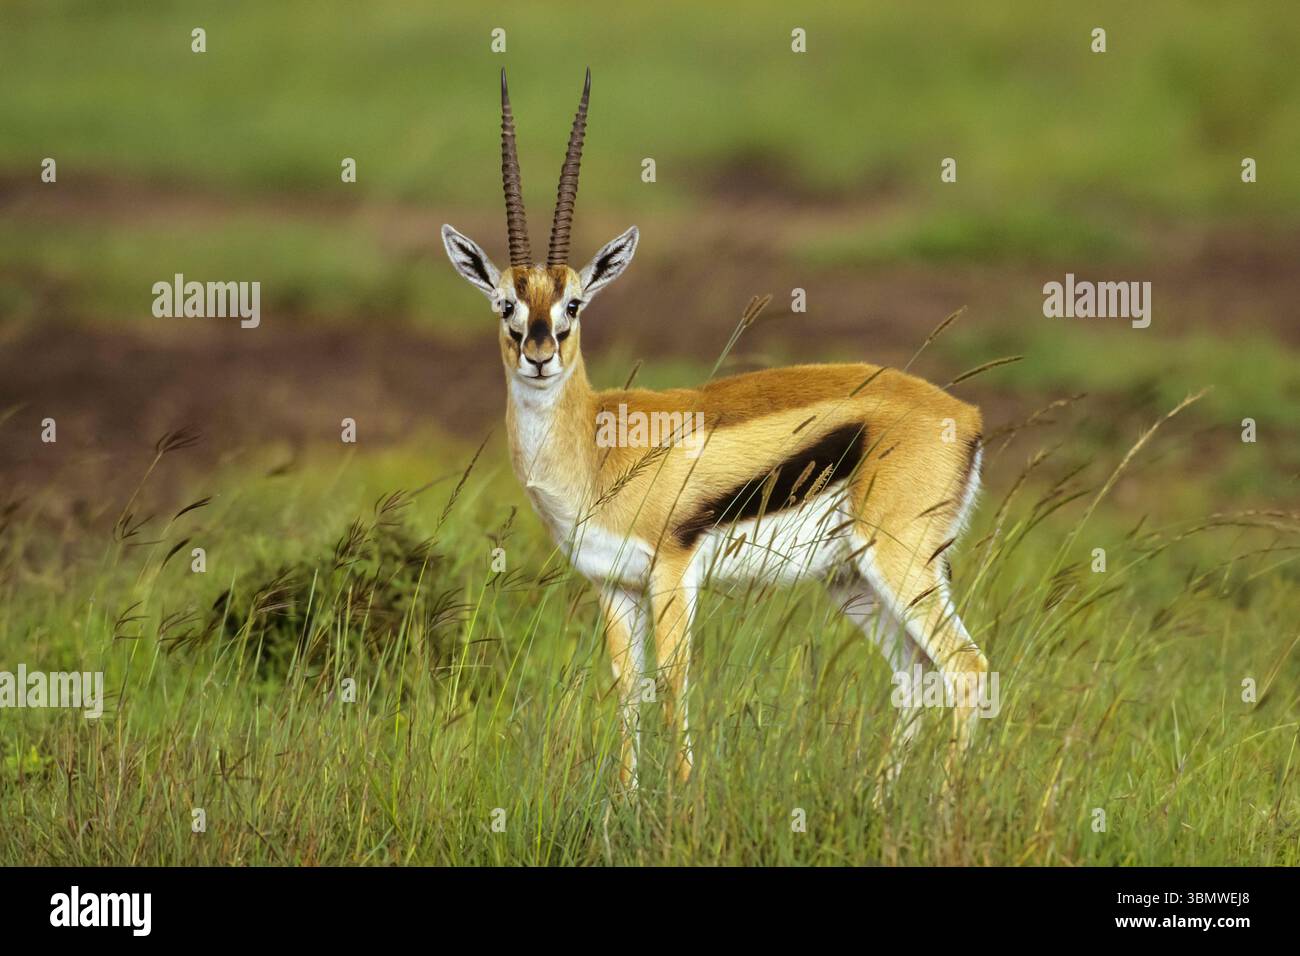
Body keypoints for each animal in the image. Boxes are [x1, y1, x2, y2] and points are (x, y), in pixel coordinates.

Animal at [441, 70, 989, 791]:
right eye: (505, 302)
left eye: (573, 304)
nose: (539, 356)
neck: (598, 446)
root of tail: (966, 416)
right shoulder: (613, 585)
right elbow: (629, 688)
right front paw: (626, 799)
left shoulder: (673, 572)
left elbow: (675, 685)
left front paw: (680, 798)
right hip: (853, 580)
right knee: (915, 677)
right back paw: (880, 801)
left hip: (901, 561)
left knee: (965, 668)